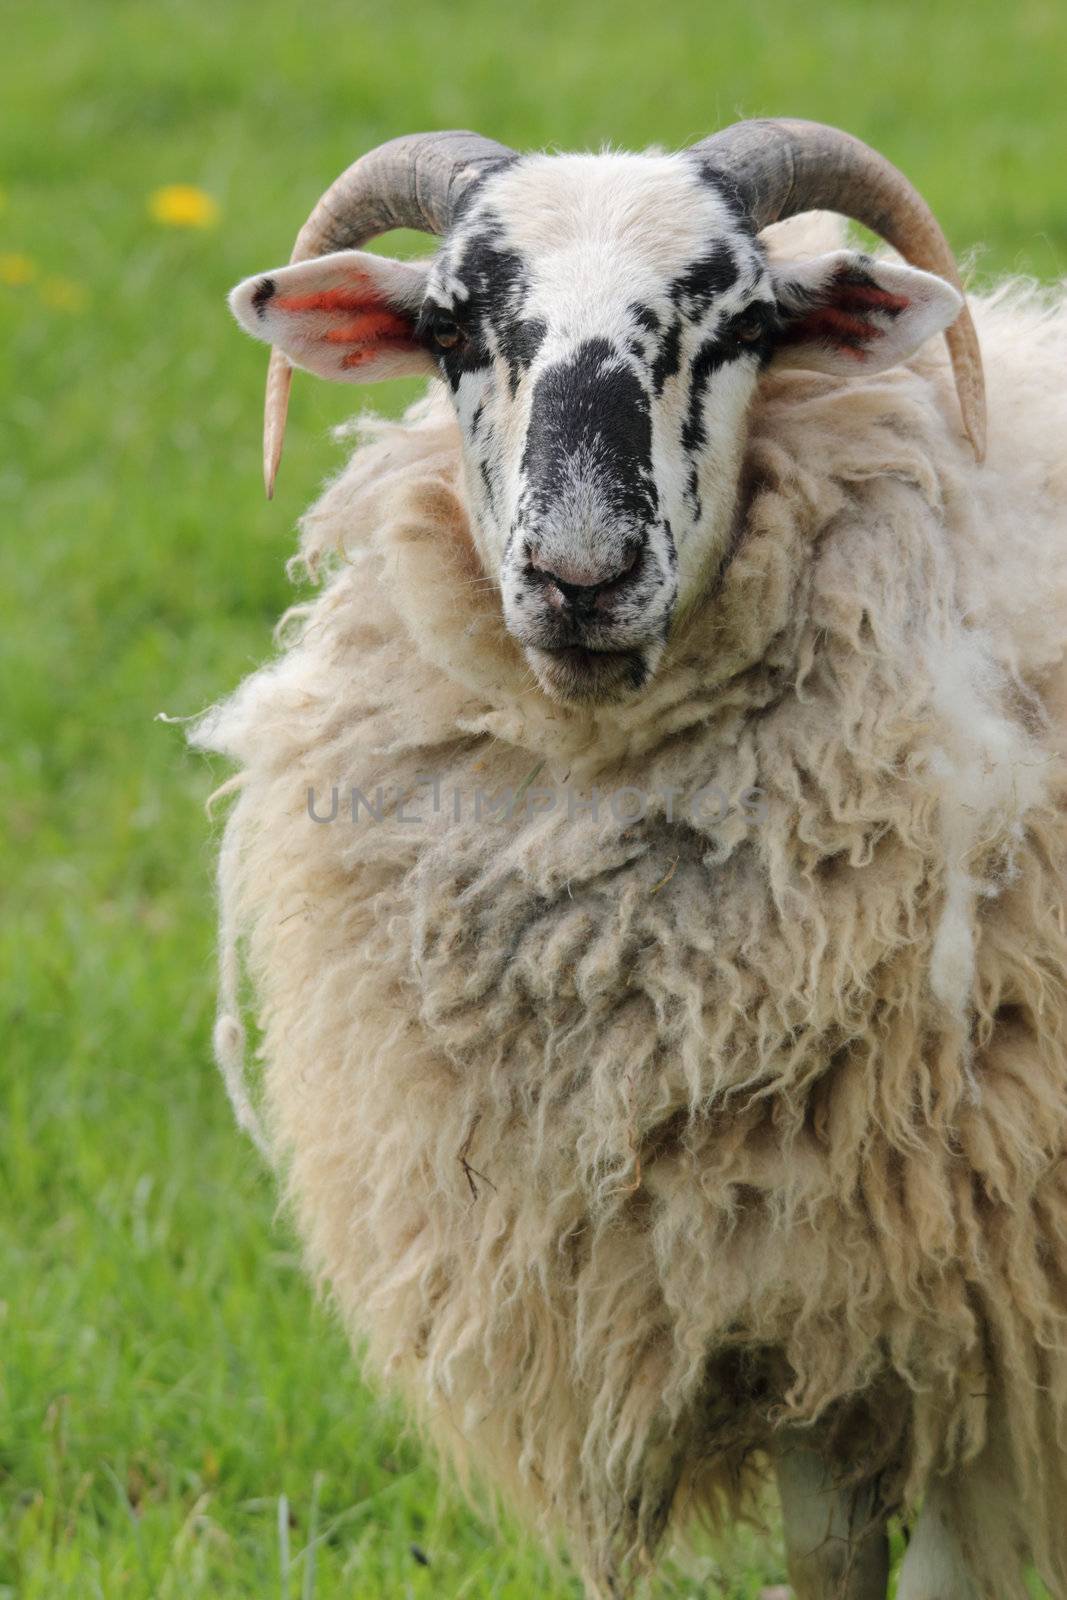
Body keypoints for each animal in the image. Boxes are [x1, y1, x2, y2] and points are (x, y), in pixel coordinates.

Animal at [195, 124, 1067, 1600]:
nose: (580, 576)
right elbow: (828, 1555)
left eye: (741, 326)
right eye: (451, 327)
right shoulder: (784, 1289)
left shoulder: (969, 1297)